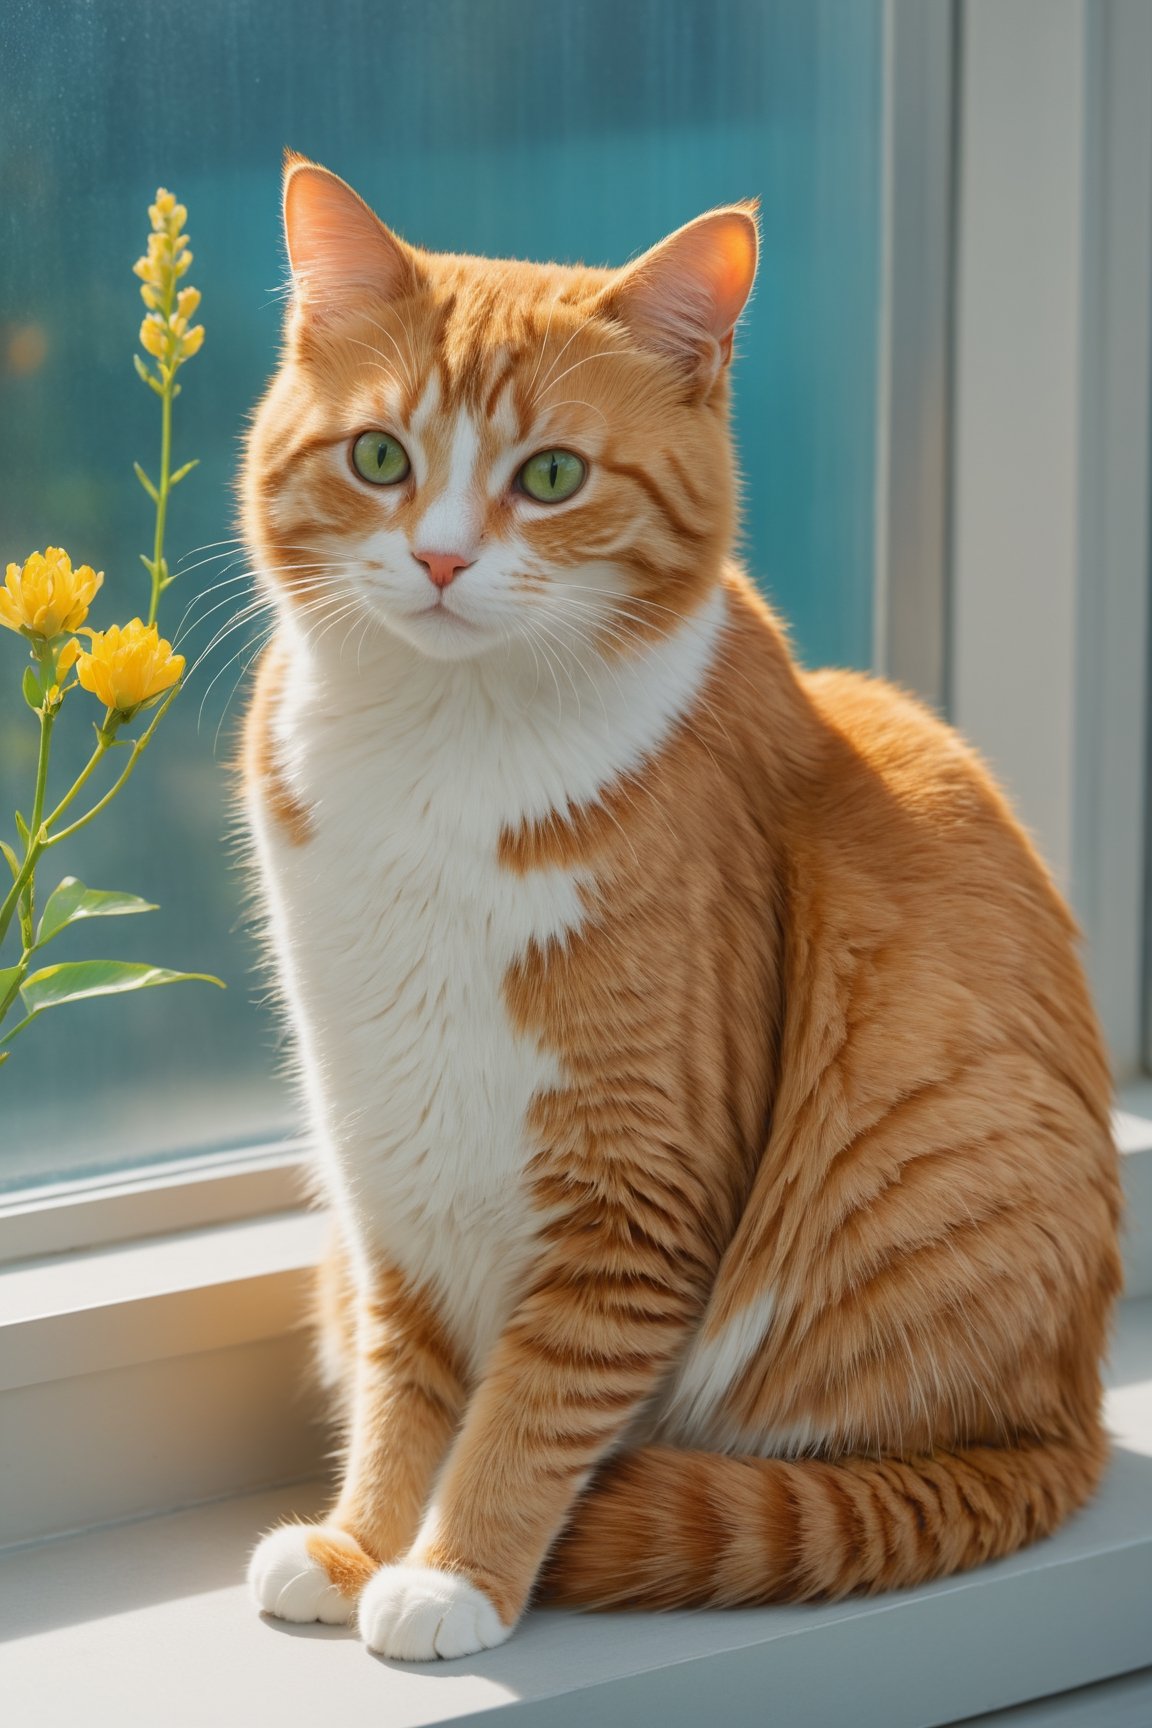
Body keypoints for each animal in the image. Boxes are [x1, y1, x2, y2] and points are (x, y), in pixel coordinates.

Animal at [241, 162, 1119, 1658]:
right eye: (380, 459)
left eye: (551, 476)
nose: (438, 561)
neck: (440, 754)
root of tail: (1081, 1424)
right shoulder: (384, 1159)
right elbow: (403, 1375)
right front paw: (361, 1542)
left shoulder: (637, 1184)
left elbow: (536, 1399)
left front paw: (452, 1572)